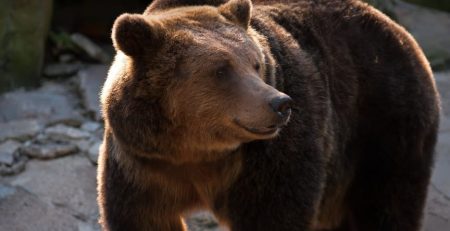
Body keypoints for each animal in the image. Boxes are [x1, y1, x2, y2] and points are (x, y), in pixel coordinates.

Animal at [97, 0, 440, 230]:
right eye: (221, 70)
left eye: (256, 63)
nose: (280, 104)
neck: (196, 151)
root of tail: (398, 30)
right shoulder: (141, 164)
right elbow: (140, 216)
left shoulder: (270, 160)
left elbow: (274, 213)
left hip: (385, 128)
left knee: (386, 205)